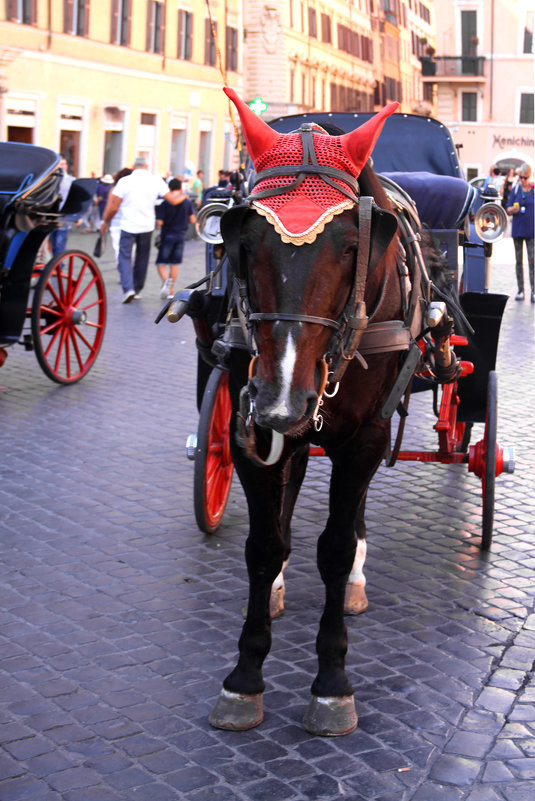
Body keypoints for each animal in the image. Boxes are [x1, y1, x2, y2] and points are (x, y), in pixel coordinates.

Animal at [207, 89, 450, 736]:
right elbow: (264, 544)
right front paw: (245, 677)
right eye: (244, 242)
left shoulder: (364, 437)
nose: (284, 398)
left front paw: (332, 683)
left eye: (351, 246)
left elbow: (336, 549)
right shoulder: (248, 430)